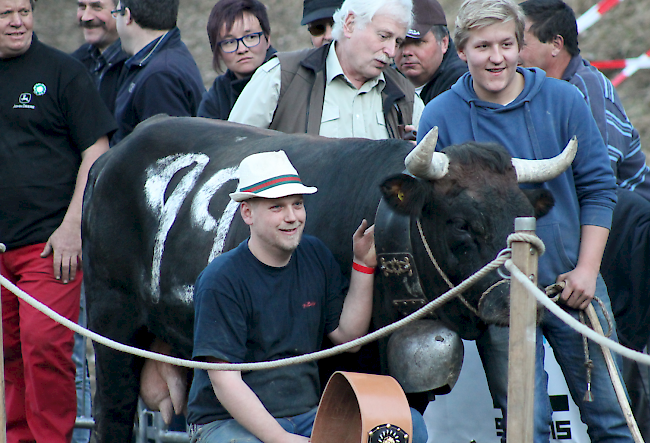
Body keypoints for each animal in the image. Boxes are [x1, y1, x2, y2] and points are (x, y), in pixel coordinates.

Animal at [82, 116, 572, 442]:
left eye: (521, 216)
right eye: (462, 223)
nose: (520, 298)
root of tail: (114, 155)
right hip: (111, 325)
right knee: (111, 416)